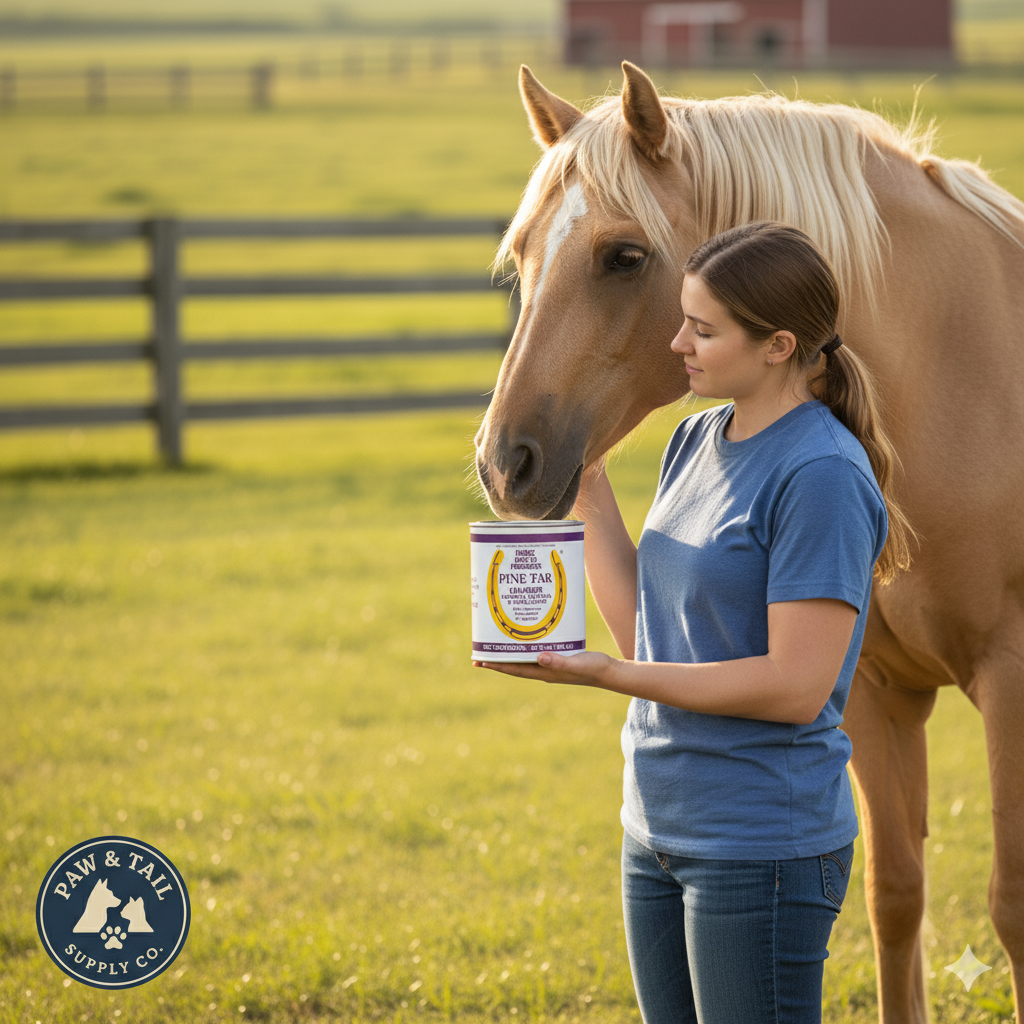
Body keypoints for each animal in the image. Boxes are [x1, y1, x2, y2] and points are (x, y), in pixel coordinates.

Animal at [474, 61, 1024, 1023]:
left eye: (625, 256)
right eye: (525, 252)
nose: (506, 462)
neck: (962, 379)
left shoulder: (1012, 675)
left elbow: (1013, 904)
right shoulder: (875, 690)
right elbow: (895, 896)